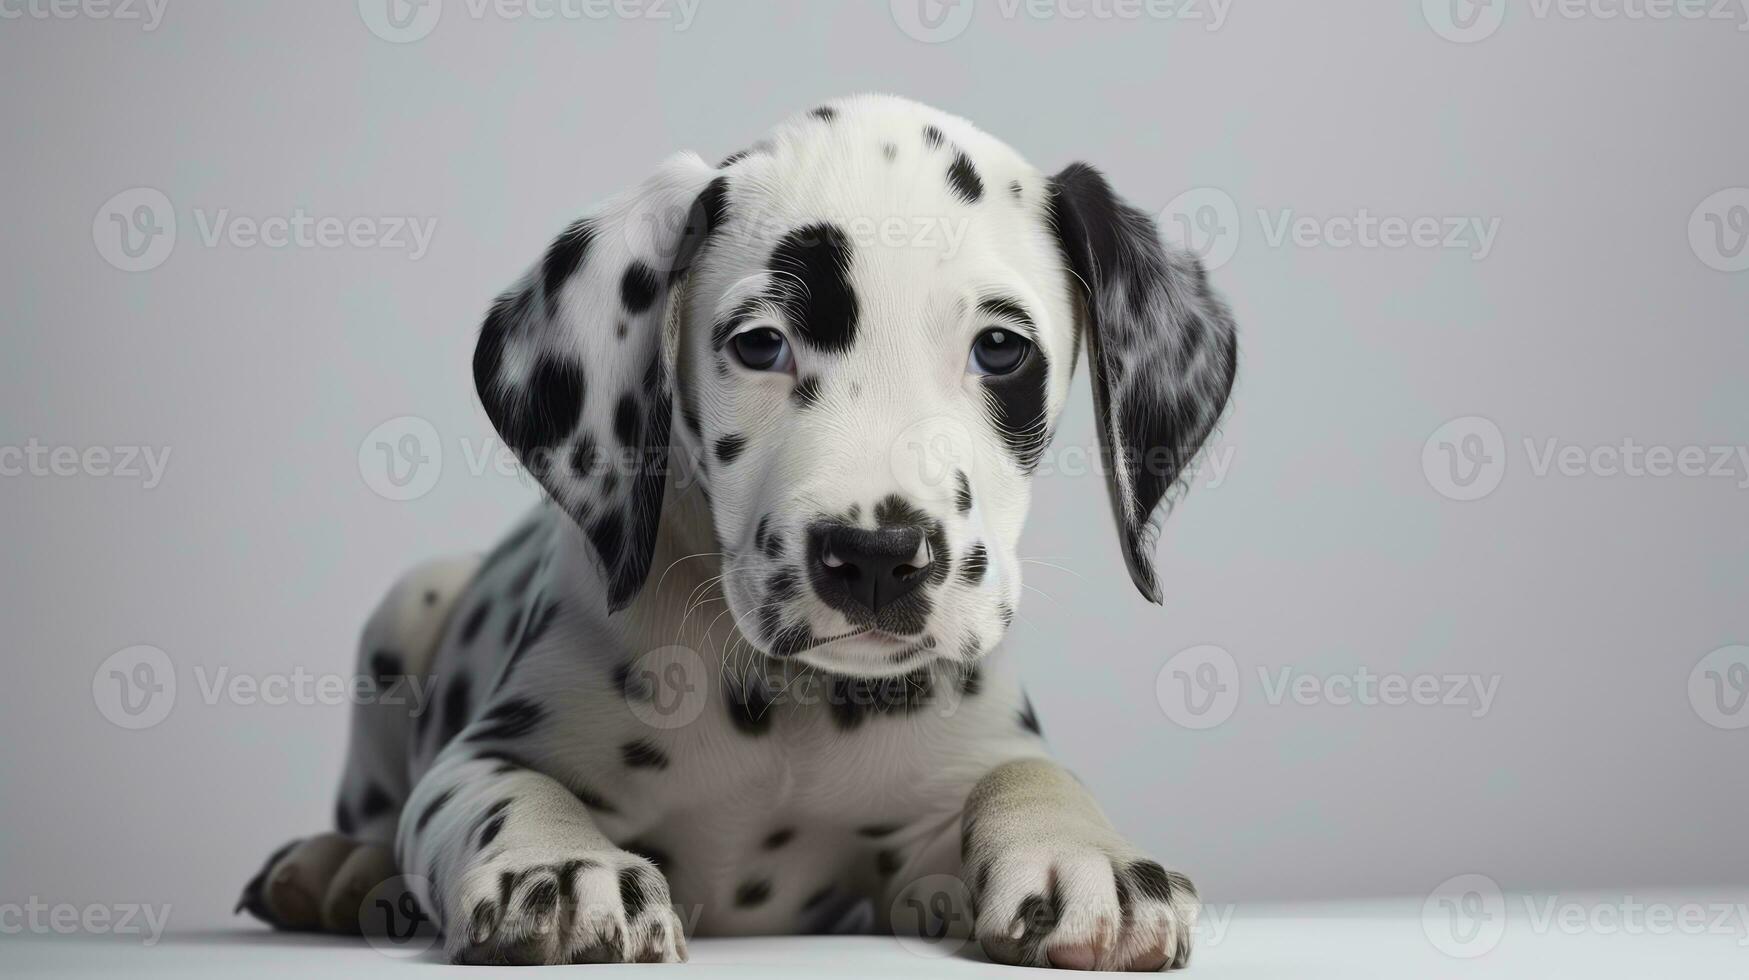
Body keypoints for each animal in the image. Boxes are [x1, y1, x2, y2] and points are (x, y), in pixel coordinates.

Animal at [239, 95, 1238, 966]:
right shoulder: (483, 751)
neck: (787, 706)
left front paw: (1082, 855)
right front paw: (556, 867)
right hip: (409, 603)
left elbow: (1024, 776)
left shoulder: (924, 834)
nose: (876, 557)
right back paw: (339, 864)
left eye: (1000, 349)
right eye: (760, 344)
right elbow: (505, 789)